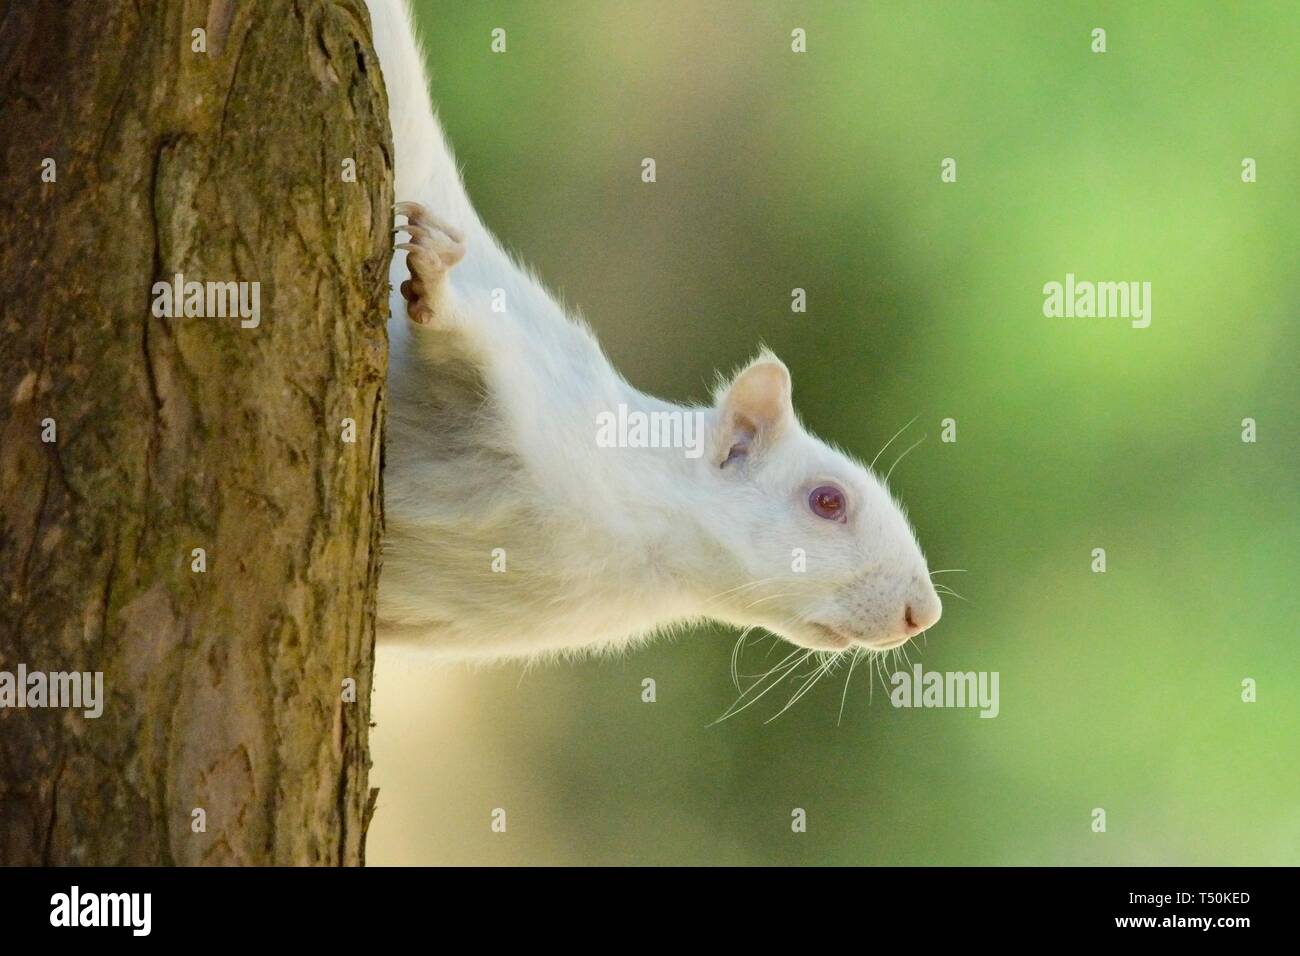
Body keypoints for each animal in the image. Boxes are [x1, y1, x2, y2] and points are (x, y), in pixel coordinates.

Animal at [366, 0, 946, 665]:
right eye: (827, 502)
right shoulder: (541, 399)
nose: (923, 613)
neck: (648, 560)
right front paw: (433, 278)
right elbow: (456, 345)